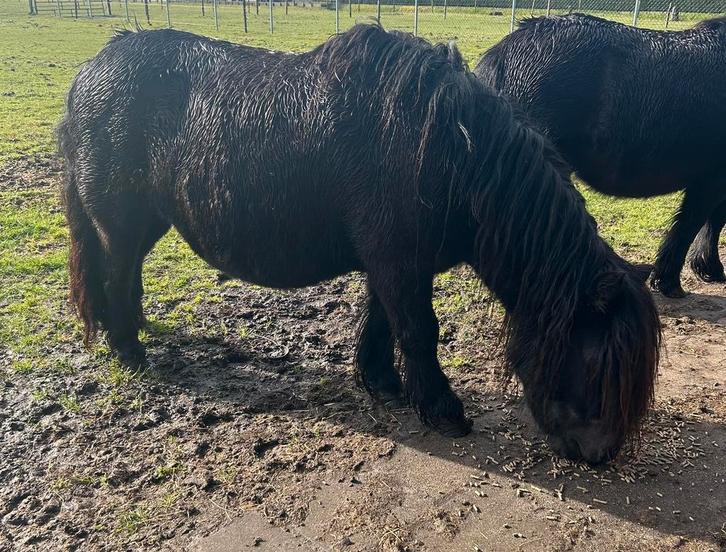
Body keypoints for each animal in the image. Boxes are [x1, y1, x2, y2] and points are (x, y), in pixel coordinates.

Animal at [58, 24, 660, 464]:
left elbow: (382, 321)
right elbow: (418, 331)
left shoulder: (393, 262)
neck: (455, 154)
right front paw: (442, 409)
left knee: (123, 277)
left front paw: (381, 381)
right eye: (597, 370)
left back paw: (132, 330)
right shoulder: (400, 264)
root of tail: (91, 70)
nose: (599, 454)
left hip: (146, 224)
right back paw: (130, 350)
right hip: (121, 224)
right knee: (116, 274)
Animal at [475, 14, 726, 298]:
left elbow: (711, 222)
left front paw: (707, 269)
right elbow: (692, 225)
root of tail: (502, 54)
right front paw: (670, 281)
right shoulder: (711, 180)